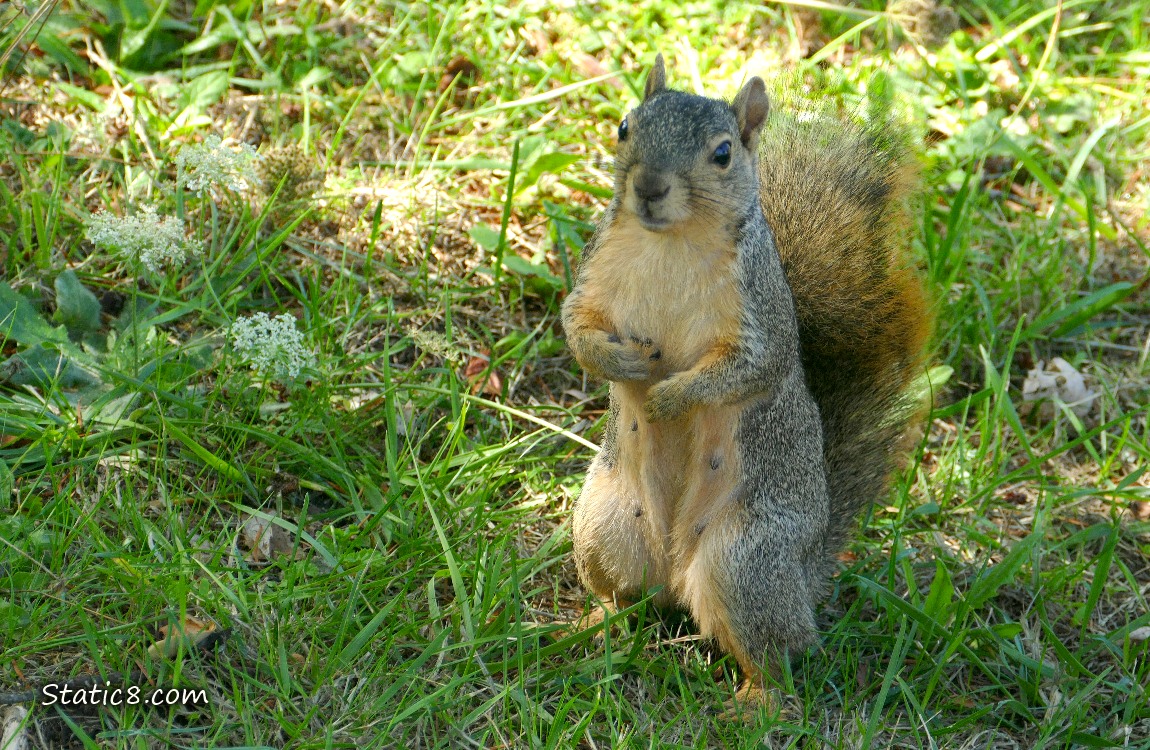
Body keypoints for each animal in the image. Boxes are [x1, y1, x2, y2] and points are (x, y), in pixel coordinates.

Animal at [560, 55, 933, 706]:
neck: (671, 243)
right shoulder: (595, 277)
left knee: (776, 658)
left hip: (746, 562)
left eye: (723, 153)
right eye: (626, 126)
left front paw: (670, 395)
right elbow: (577, 329)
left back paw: (759, 705)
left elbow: (747, 369)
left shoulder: (760, 317)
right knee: (626, 600)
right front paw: (625, 365)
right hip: (604, 526)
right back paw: (589, 626)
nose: (649, 187)